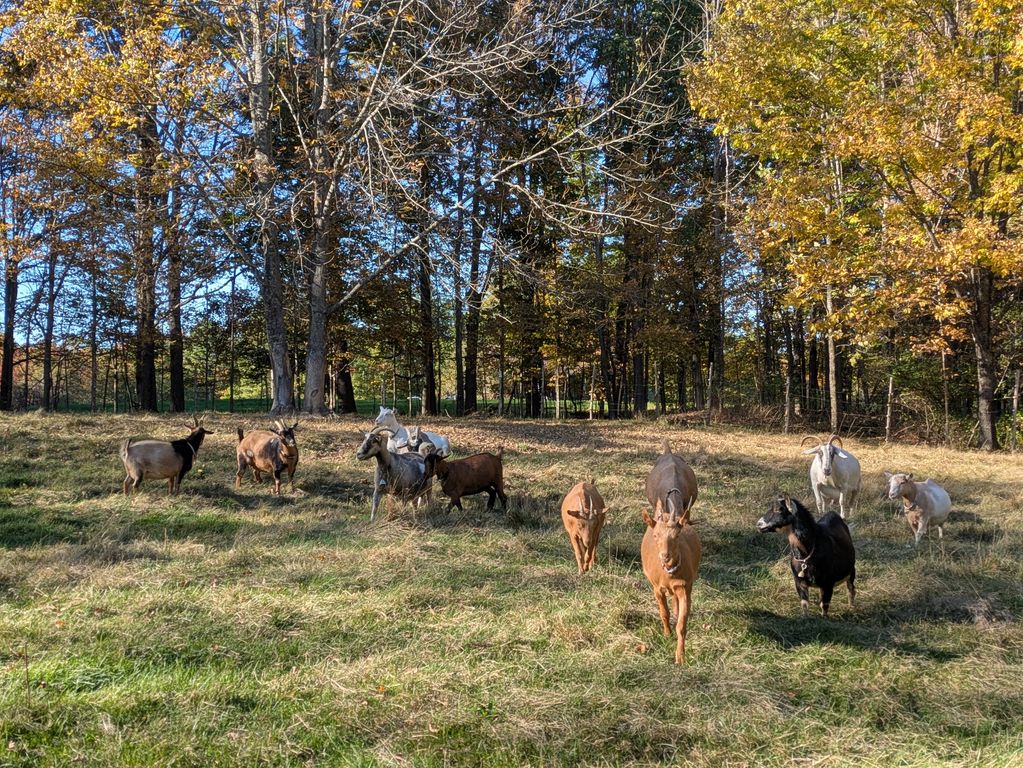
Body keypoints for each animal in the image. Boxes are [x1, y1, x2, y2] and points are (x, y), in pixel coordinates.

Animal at [641, 498, 702, 664]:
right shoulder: (657, 588)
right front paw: (667, 634)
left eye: (677, 535)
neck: (669, 575)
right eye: (656, 535)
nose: (665, 556)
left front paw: (680, 656)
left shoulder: (684, 587)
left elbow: (681, 624)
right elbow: (663, 612)